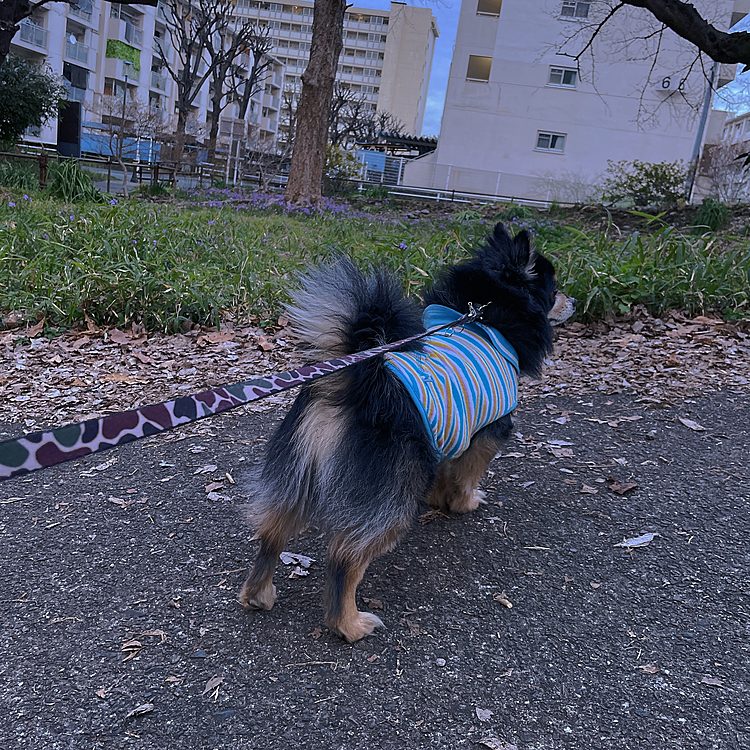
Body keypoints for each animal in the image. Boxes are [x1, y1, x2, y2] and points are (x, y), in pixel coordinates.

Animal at [238, 220, 580, 644]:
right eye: (554, 289)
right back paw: (350, 624)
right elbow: (467, 474)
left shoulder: (449, 429)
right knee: (344, 559)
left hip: (297, 475)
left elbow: (447, 468)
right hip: (391, 496)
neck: (484, 319)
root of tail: (355, 382)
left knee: (272, 533)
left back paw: (258, 594)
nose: (575, 301)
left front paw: (439, 499)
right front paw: (464, 502)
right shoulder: (489, 431)